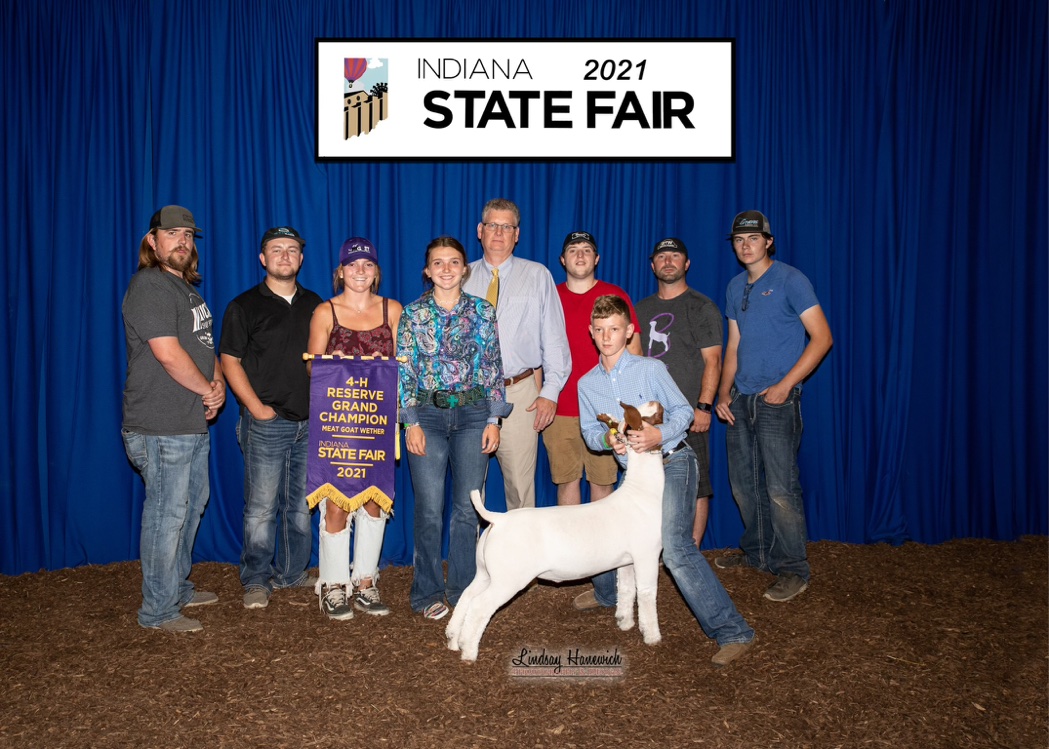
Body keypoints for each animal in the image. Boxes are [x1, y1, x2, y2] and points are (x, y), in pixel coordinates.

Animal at [445, 401, 667, 661]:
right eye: (646, 416)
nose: (656, 403)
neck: (642, 491)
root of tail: (498, 519)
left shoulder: (627, 561)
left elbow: (626, 589)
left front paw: (624, 623)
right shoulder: (647, 555)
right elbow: (647, 593)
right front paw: (653, 637)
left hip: (486, 572)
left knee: (467, 596)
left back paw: (453, 639)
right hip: (508, 578)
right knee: (480, 606)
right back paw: (469, 651)